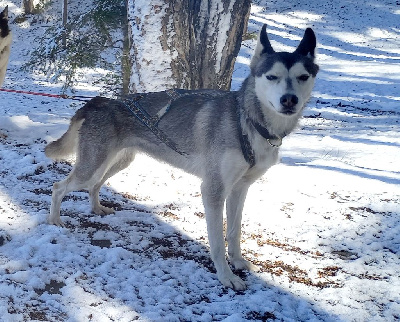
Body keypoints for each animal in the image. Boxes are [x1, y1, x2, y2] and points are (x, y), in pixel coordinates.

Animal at [45, 24, 318, 292]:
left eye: (303, 77)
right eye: (272, 76)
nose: (289, 100)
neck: (248, 123)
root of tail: (97, 102)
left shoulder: (240, 189)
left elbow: (234, 232)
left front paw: (238, 262)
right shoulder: (214, 191)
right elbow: (217, 243)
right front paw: (226, 276)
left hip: (116, 163)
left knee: (94, 186)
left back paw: (96, 208)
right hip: (91, 166)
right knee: (59, 187)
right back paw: (55, 220)